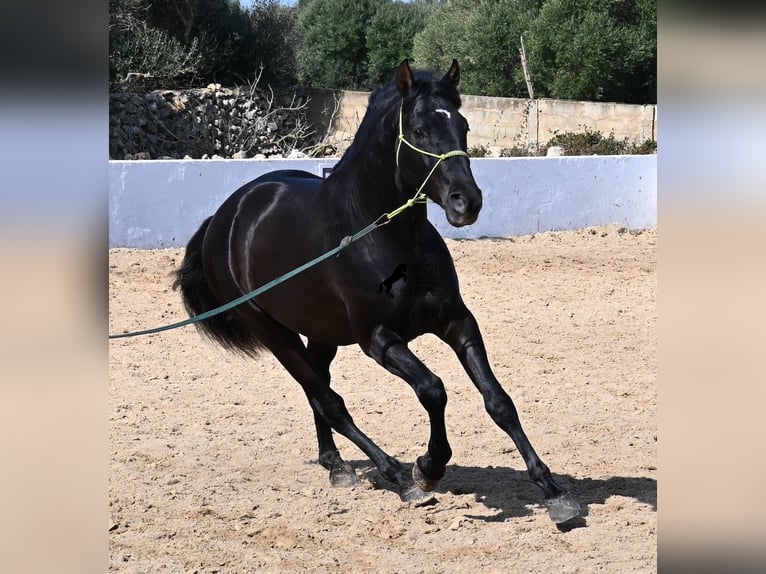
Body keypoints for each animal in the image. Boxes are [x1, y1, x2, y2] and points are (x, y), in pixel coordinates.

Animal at [176, 59, 584, 528]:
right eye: (420, 130)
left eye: (462, 124)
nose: (467, 202)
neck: (384, 236)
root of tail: (224, 217)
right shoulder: (378, 338)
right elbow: (433, 389)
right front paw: (427, 468)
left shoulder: (457, 321)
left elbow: (498, 401)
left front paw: (554, 492)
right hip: (274, 333)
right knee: (330, 401)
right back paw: (397, 476)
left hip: (322, 333)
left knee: (319, 393)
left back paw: (336, 465)